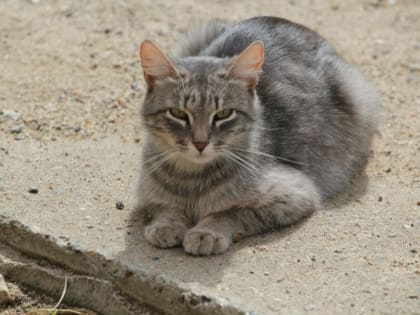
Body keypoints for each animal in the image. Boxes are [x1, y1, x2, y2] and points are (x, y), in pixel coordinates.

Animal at [135, 16, 380, 256]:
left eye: (223, 114)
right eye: (178, 113)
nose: (200, 143)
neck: (190, 180)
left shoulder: (295, 194)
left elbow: (232, 213)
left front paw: (207, 232)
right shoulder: (147, 194)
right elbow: (165, 207)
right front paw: (166, 225)